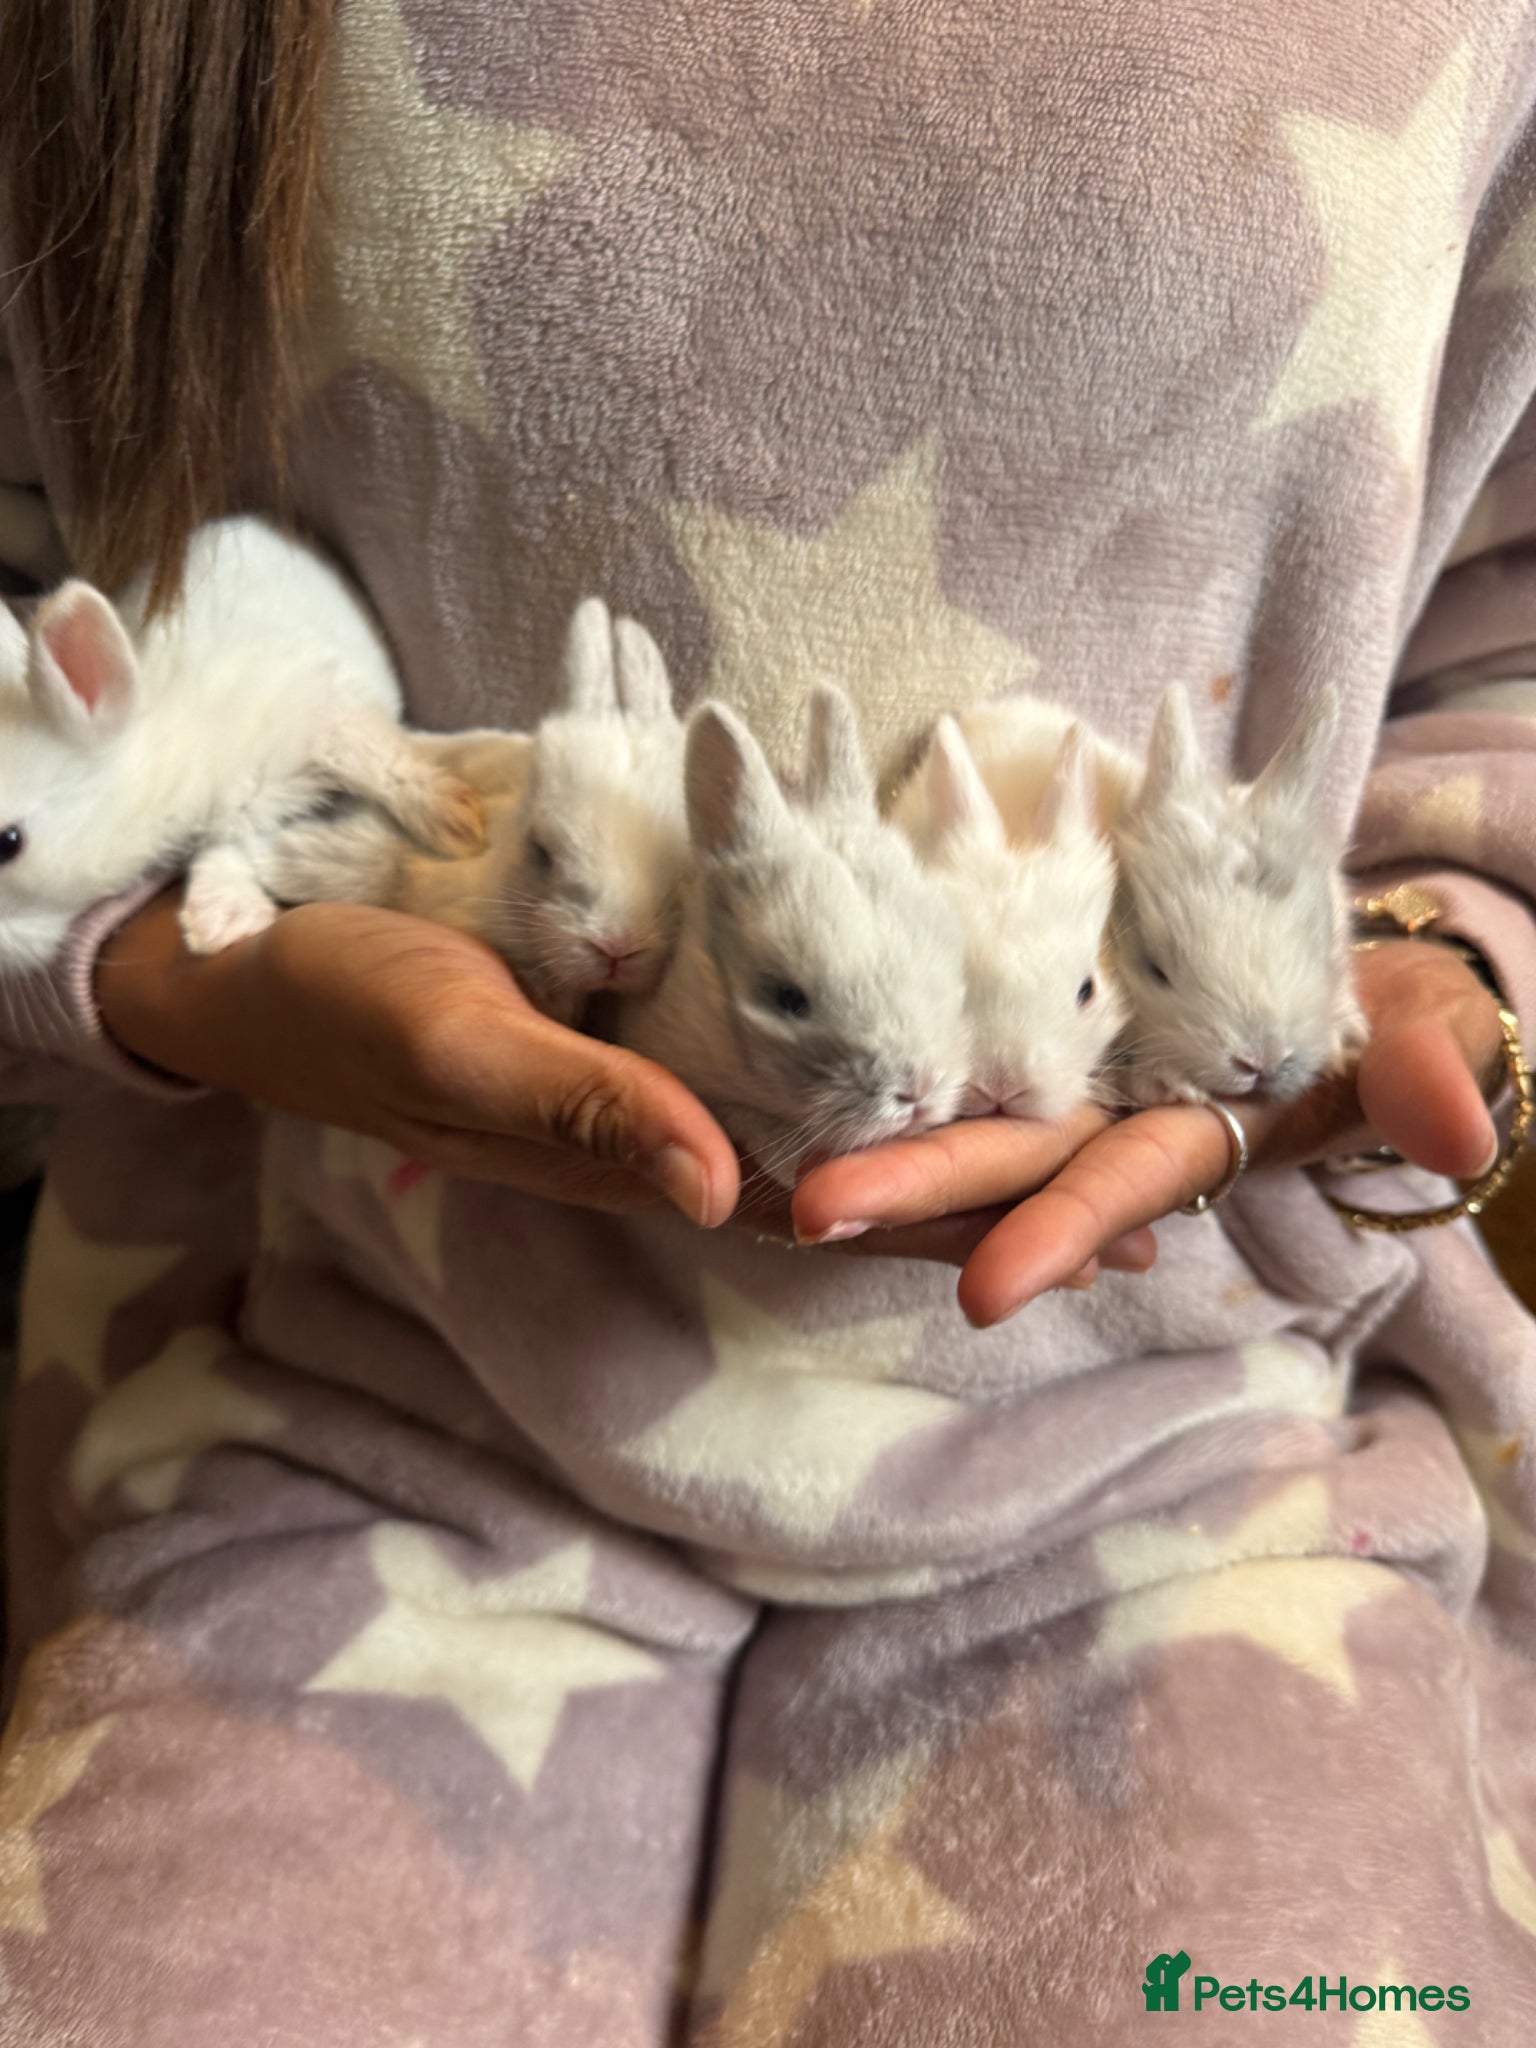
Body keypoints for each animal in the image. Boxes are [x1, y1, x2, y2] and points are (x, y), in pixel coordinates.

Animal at [0, 517, 482, 972]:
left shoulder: (328, 715)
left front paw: (455, 822)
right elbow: (227, 848)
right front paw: (223, 920)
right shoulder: (231, 813)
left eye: (10, 842)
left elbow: (379, 761)